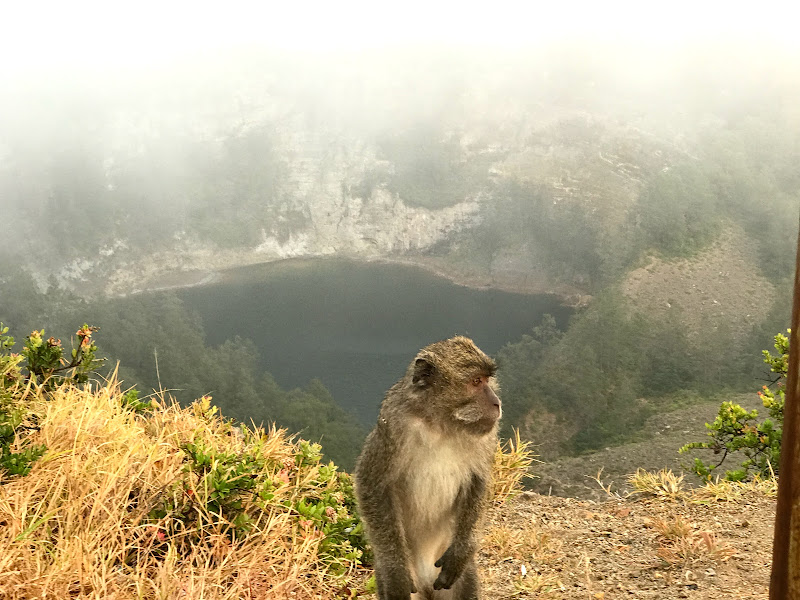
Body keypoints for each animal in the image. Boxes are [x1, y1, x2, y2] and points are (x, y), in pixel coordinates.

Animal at [354, 336, 500, 596]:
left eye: (487, 379)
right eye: (476, 381)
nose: (496, 403)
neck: (441, 424)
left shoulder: (487, 436)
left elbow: (479, 481)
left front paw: (462, 551)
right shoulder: (392, 426)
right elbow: (371, 485)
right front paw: (395, 569)